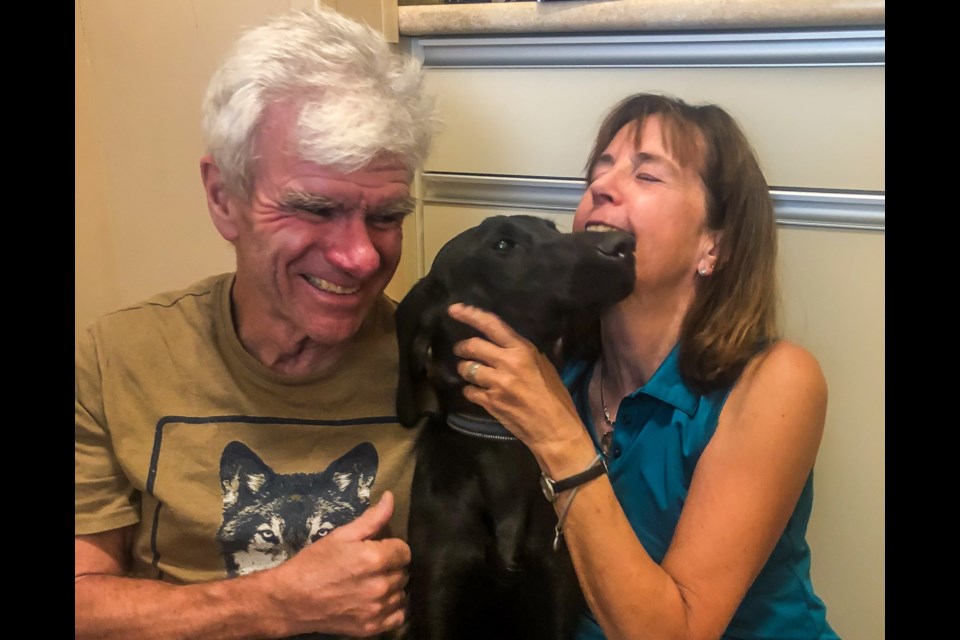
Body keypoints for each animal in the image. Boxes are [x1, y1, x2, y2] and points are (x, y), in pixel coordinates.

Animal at [394, 215, 632, 640]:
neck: (499, 437)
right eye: (503, 245)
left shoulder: (556, 593)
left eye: (552, 228)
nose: (624, 244)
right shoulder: (438, 591)